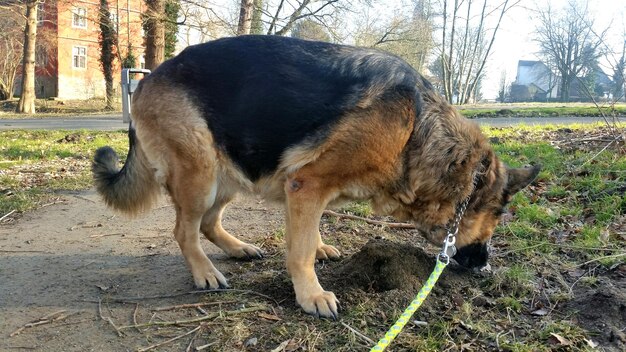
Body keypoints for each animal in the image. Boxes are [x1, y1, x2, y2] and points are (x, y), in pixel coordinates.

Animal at [91, 35, 536, 320]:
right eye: (492, 224)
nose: (484, 266)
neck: (416, 130)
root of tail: (148, 76)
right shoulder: (308, 184)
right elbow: (300, 250)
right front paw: (311, 294)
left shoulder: (306, 191)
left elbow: (310, 232)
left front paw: (321, 247)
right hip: (200, 173)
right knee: (185, 229)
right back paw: (204, 272)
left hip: (232, 170)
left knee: (208, 223)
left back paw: (238, 248)